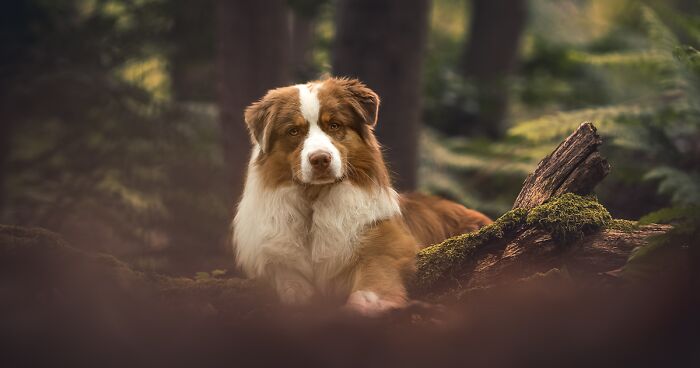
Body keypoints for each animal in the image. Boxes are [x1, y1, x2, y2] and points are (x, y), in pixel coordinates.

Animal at [232, 78, 490, 316]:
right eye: (294, 131)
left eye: (334, 125)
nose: (320, 159)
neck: (314, 200)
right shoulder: (274, 258)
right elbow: (290, 284)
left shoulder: (386, 241)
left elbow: (373, 276)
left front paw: (366, 306)